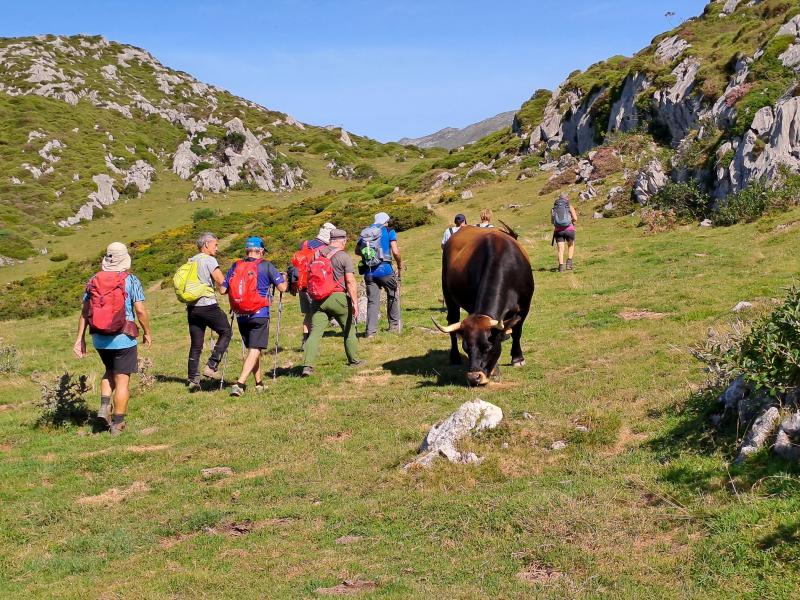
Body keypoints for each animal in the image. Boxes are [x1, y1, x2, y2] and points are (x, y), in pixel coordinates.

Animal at [434, 223, 536, 386]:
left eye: (488, 347)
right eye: (466, 348)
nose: (474, 377)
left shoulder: (524, 307)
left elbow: (517, 332)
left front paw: (517, 358)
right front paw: (495, 370)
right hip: (448, 295)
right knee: (452, 322)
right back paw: (454, 357)